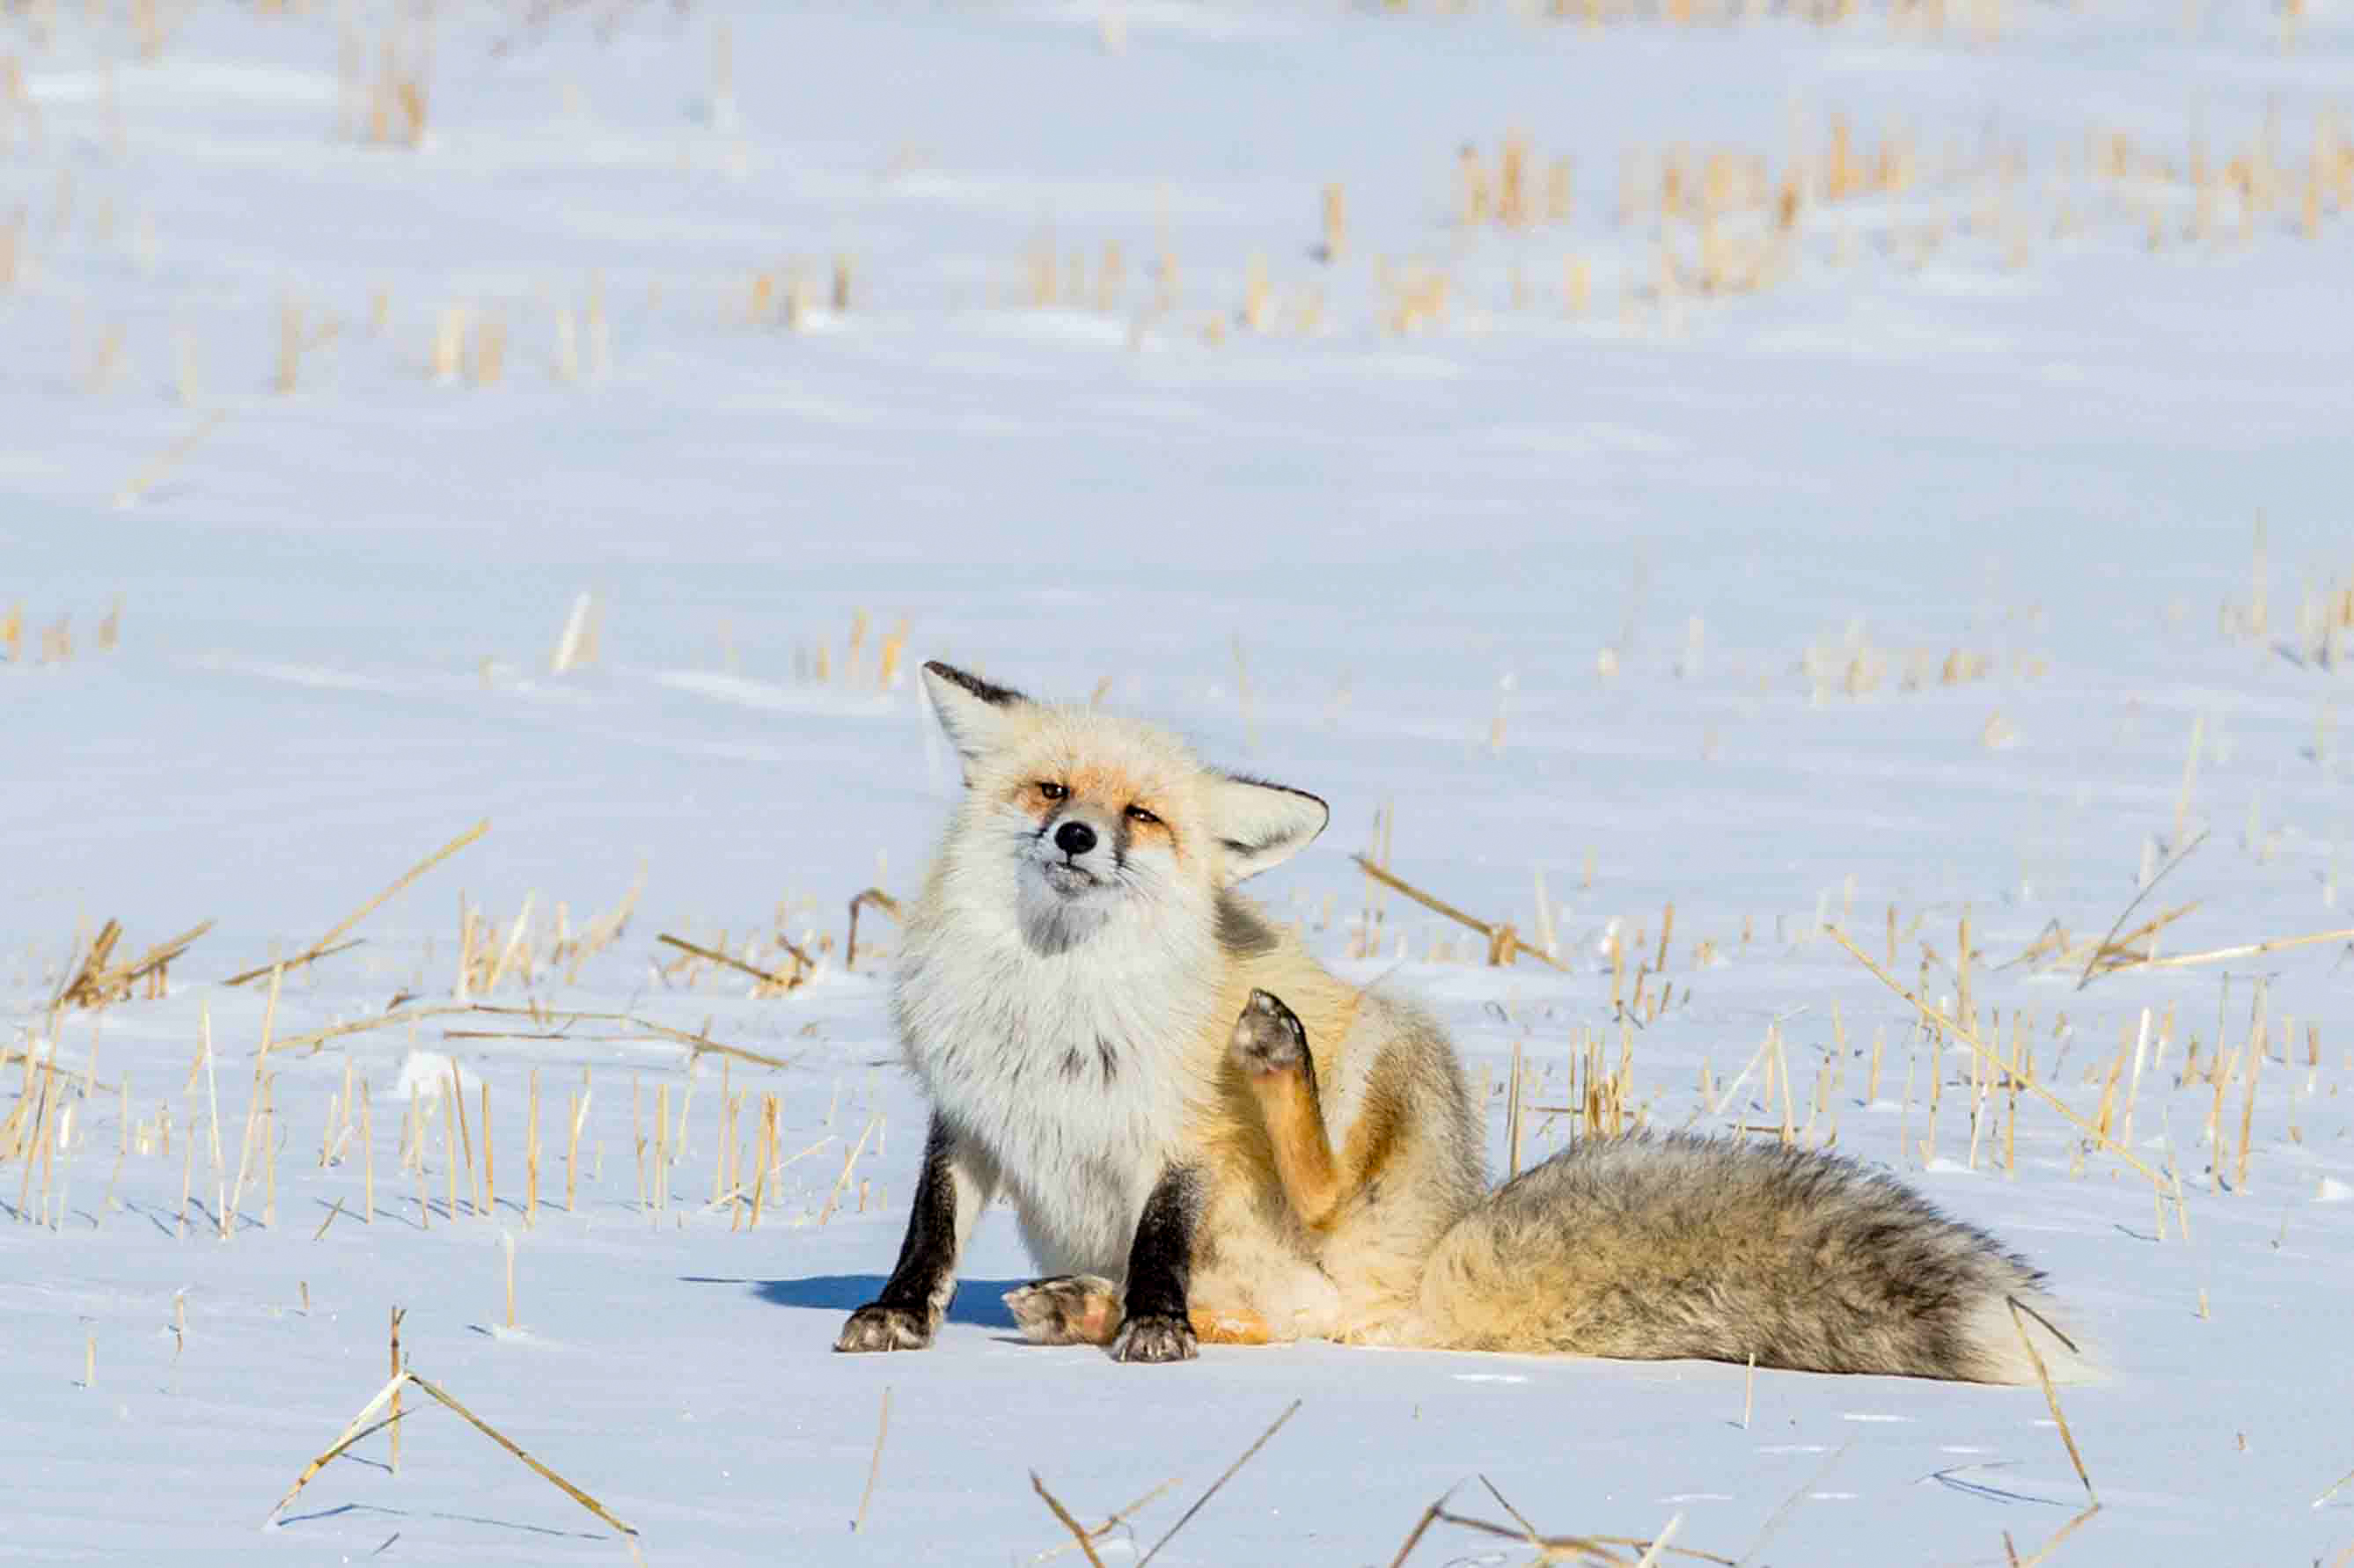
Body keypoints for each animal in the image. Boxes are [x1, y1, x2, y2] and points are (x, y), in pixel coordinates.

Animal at [838, 659, 2090, 1384]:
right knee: (1277, 1320)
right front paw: (895, 1321)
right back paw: (1075, 1307)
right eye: (1051, 790)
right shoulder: (970, 1114)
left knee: (1318, 1226)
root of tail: (1432, 1277)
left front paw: (1152, 1327)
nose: (1078, 838)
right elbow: (928, 1237)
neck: (1051, 999)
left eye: (1141, 814)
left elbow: (1161, 1245)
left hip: (1399, 1045)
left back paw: (1264, 1081)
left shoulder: (1182, 1138)